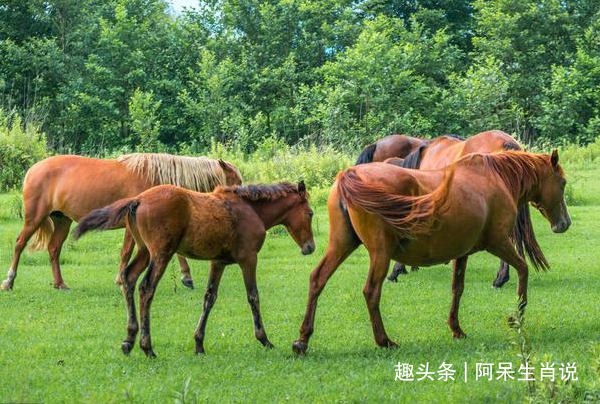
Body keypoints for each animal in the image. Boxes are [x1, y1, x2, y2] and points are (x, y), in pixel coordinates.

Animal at [2, 152, 241, 290]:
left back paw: (60, 284)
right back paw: (9, 281)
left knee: (53, 249)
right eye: (236, 181)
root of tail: (33, 169)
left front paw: (186, 277)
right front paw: (120, 279)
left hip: (62, 220)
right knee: (20, 244)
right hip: (34, 217)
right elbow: (126, 252)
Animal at [73, 181, 316, 356]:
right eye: (311, 213)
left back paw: (128, 340)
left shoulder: (218, 263)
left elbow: (209, 297)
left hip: (144, 251)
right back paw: (147, 347)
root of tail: (138, 199)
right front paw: (264, 339)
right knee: (146, 288)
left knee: (129, 278)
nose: (310, 247)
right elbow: (253, 297)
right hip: (161, 253)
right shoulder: (248, 259)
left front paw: (199, 344)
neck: (251, 210)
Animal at [292, 150, 568, 356]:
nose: (564, 223)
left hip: (341, 245)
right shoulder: (499, 243)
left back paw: (303, 339)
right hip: (380, 254)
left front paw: (456, 329)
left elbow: (457, 288)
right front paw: (517, 316)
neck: (494, 178)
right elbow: (523, 269)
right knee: (371, 291)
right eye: (563, 183)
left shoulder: (462, 252)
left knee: (317, 279)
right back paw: (384, 341)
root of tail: (350, 174)